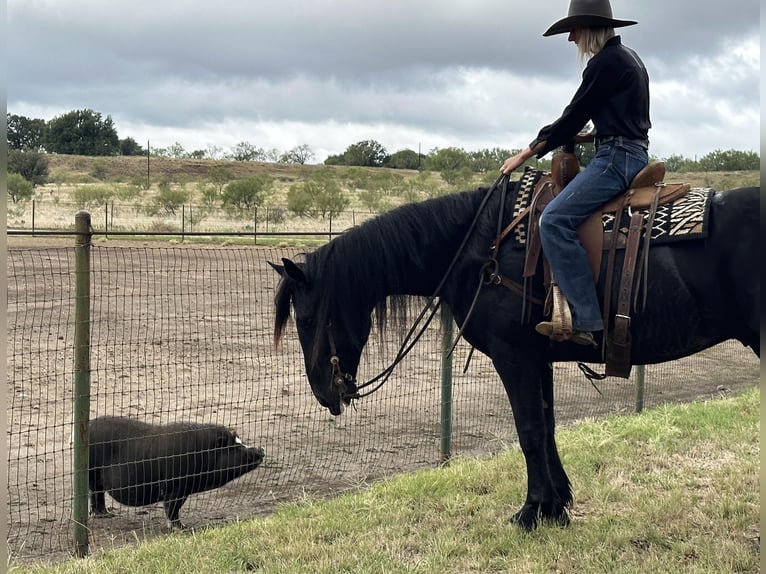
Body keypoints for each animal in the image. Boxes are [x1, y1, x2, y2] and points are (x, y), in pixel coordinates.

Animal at [88, 414, 264, 532]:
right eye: (234, 447)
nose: (261, 449)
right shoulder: (174, 488)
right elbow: (172, 508)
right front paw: (181, 528)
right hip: (92, 472)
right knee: (94, 493)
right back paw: (103, 515)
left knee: (97, 493)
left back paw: (106, 514)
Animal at [272, 176, 760, 532]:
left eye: (307, 319)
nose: (323, 393)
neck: (476, 249)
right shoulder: (537, 358)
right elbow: (547, 426)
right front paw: (558, 507)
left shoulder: (514, 358)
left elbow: (528, 431)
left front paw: (532, 511)